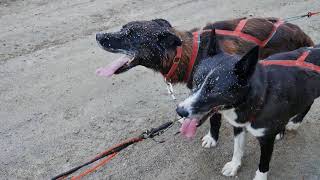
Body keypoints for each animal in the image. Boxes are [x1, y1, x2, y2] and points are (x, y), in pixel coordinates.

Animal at [175, 38, 320, 179]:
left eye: (215, 91)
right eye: (195, 81)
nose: (180, 111)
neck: (261, 96)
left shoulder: (266, 140)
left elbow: (263, 165)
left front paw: (259, 177)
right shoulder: (238, 125)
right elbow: (237, 148)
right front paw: (234, 165)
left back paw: (294, 123)